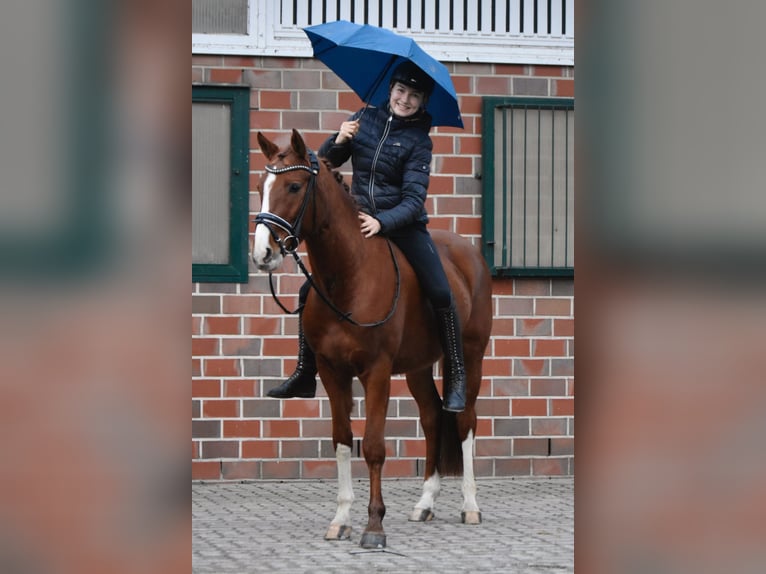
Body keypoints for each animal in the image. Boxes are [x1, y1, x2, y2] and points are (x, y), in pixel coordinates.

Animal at [252, 130, 492, 552]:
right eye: (260, 187)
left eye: (294, 186)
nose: (263, 253)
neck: (350, 274)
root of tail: (470, 255)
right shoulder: (332, 371)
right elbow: (343, 440)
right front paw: (341, 520)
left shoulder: (376, 372)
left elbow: (375, 446)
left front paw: (374, 526)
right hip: (417, 368)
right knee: (432, 417)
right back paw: (425, 503)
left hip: (471, 358)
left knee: (464, 421)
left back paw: (470, 506)